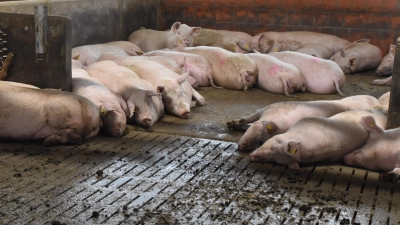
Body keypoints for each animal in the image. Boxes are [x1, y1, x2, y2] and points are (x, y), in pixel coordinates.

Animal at [228, 95, 382, 151]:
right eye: (256, 132)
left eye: (261, 140)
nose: (241, 146)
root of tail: (376, 99)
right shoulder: (268, 108)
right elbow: (249, 119)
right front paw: (230, 123)